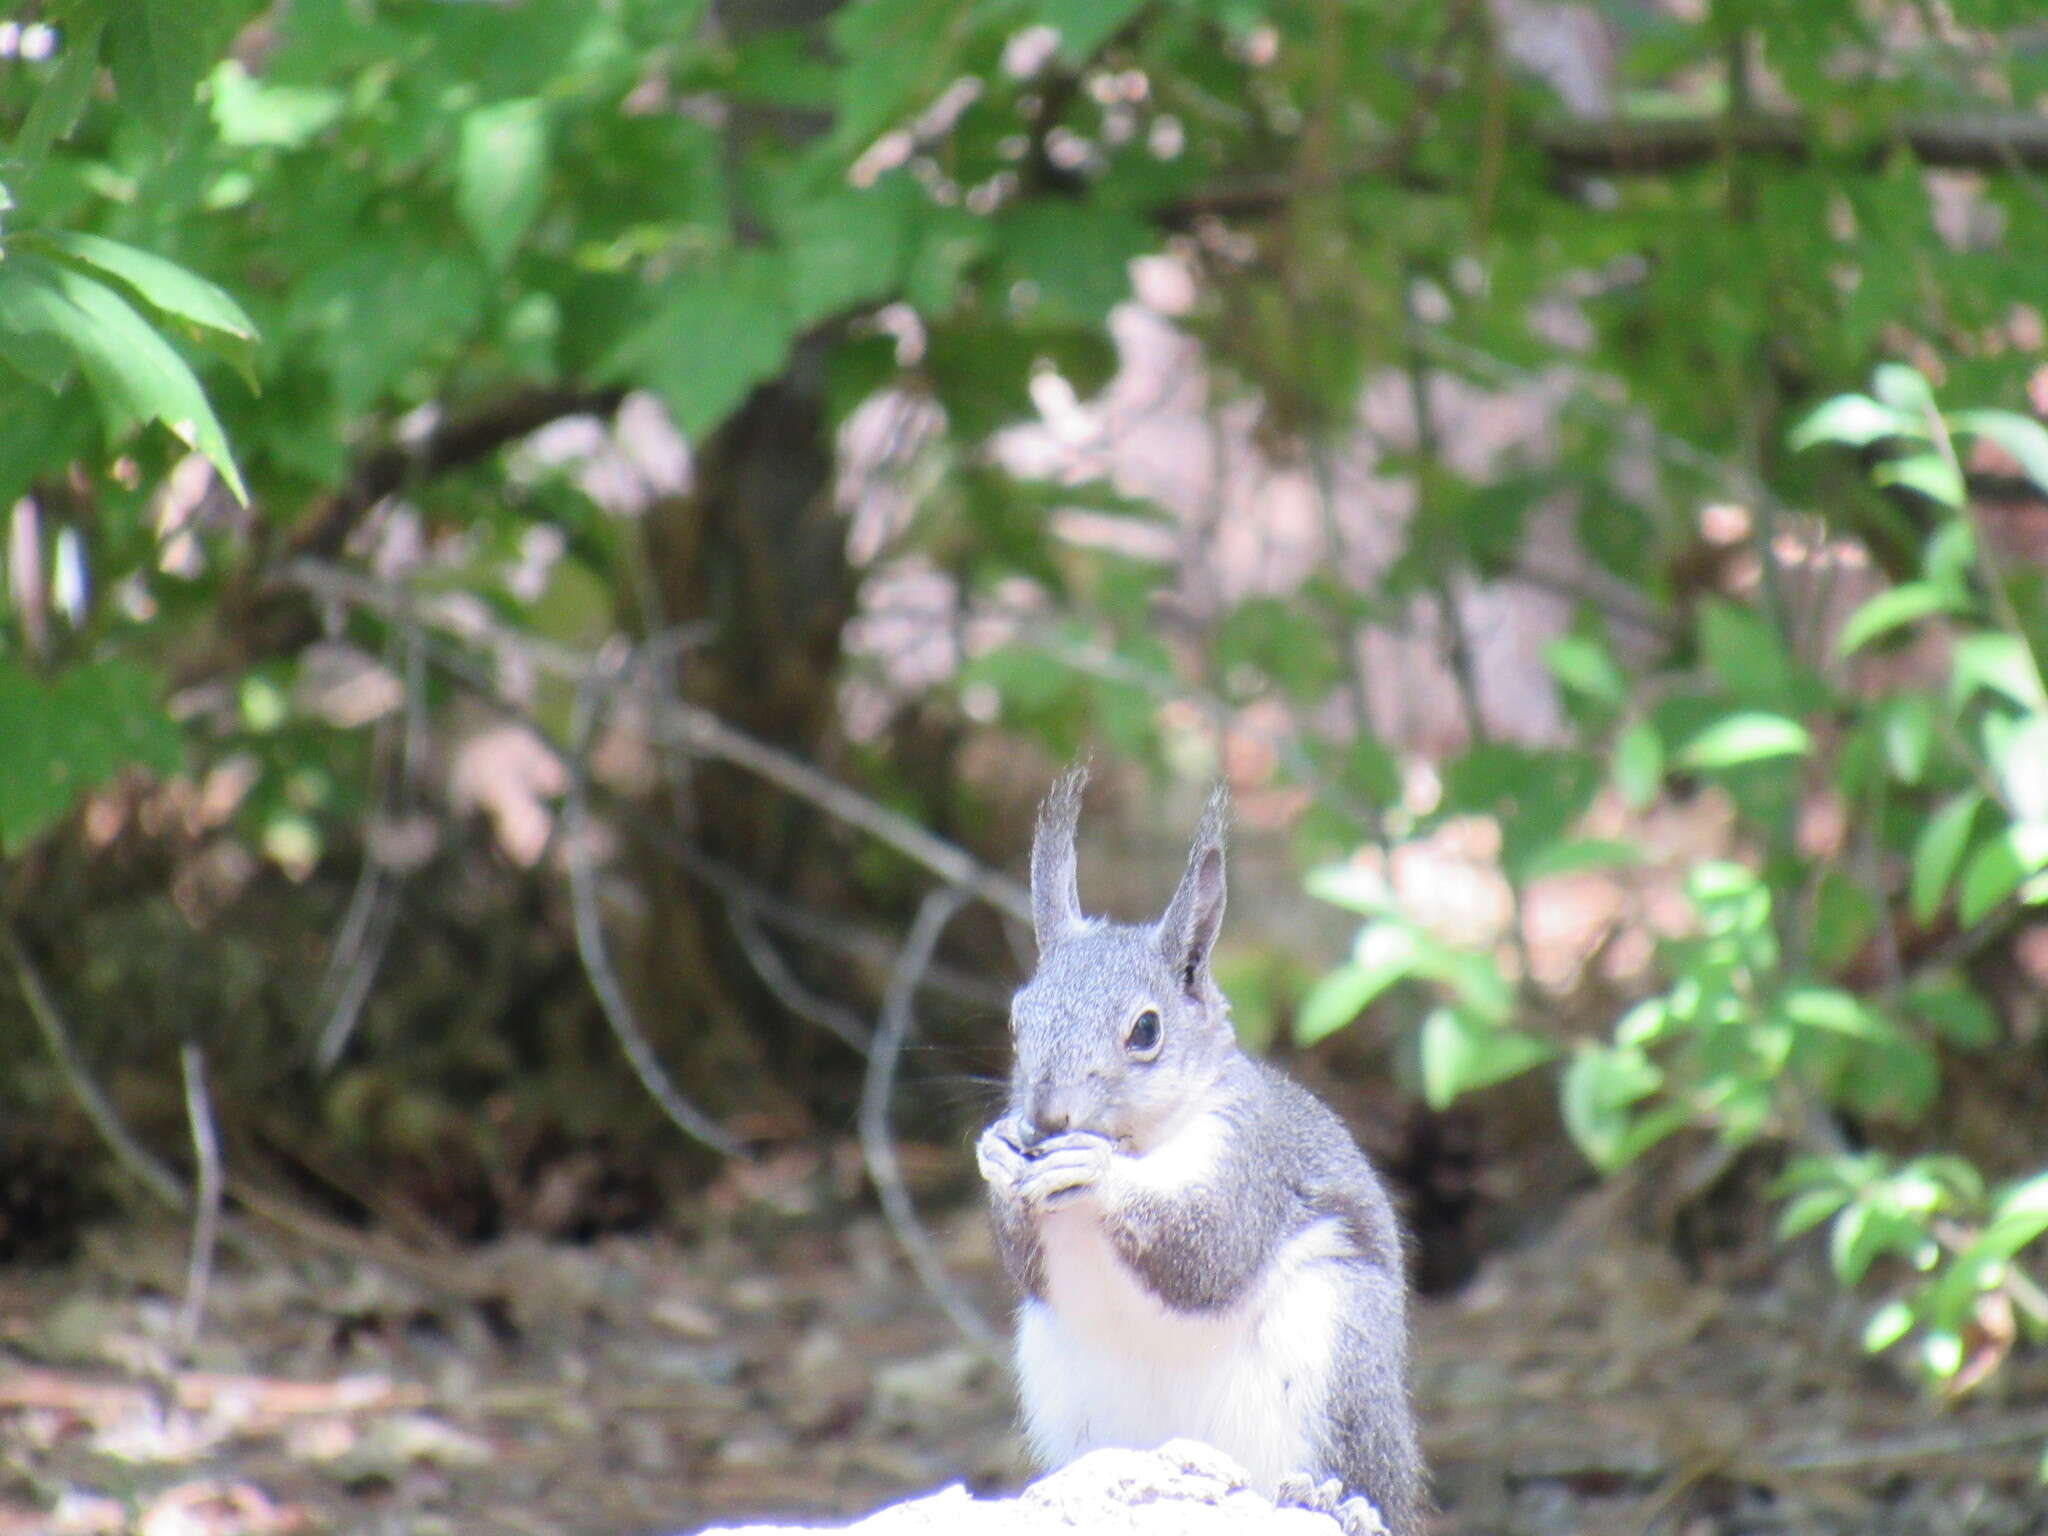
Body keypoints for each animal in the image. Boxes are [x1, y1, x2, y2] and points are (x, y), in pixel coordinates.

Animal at [974, 770, 1425, 1536]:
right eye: (1015, 1020)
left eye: (1146, 1030)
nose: (1045, 1117)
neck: (1144, 1141)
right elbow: (1026, 1266)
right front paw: (998, 1153)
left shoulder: (1252, 1157)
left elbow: (1211, 1247)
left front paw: (1098, 1173)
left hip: (1336, 1360)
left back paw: (1332, 1500)